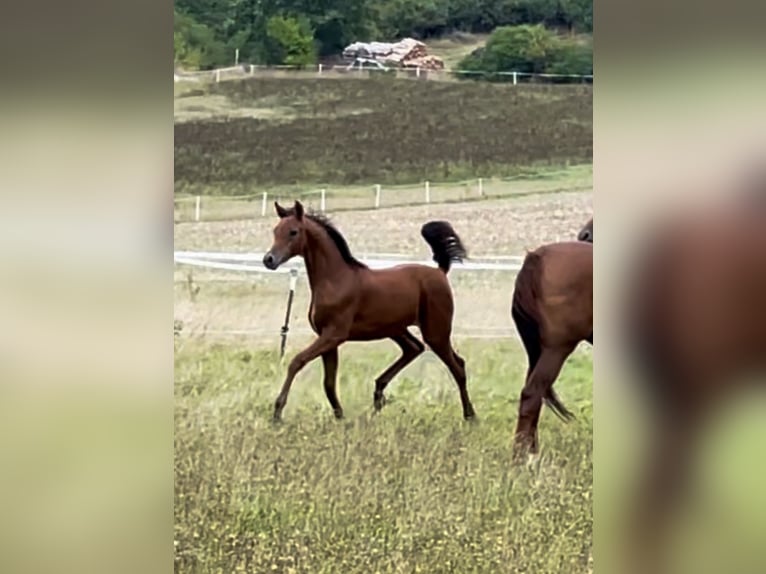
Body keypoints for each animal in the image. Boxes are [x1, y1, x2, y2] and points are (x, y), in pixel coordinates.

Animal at [262, 200, 476, 422]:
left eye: (293, 232)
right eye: (275, 231)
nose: (269, 260)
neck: (336, 279)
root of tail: (440, 271)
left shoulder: (334, 335)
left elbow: (297, 361)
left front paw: (277, 412)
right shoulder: (327, 338)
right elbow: (329, 383)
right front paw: (340, 417)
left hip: (436, 333)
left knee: (457, 366)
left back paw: (470, 416)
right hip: (396, 329)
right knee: (414, 348)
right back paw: (378, 397)